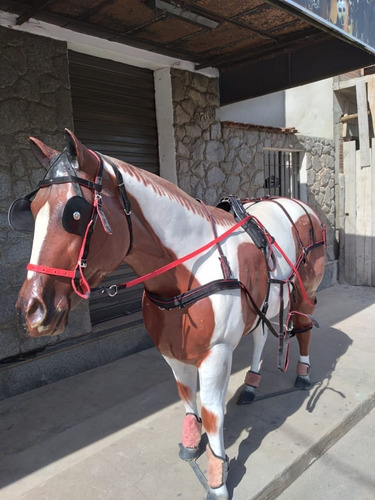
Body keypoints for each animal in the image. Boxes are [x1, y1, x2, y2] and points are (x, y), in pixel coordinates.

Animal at [9, 130, 326, 500]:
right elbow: (187, 397)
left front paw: (217, 478)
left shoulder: (216, 354)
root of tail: (302, 207)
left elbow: (212, 414)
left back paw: (303, 373)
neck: (189, 271)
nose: (31, 310)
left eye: (75, 213)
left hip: (304, 294)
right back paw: (251, 383)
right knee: (262, 335)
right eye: (31, 210)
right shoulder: (172, 350)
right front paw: (191, 443)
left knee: (304, 326)